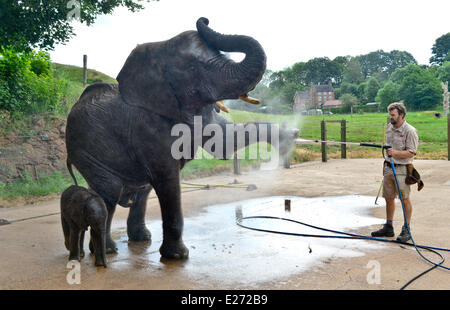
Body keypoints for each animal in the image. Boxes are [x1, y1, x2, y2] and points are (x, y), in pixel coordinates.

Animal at [66, 17, 298, 260]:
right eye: (193, 68)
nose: (204, 19)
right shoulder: (148, 125)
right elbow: (168, 177)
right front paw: (177, 257)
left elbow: (222, 144)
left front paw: (288, 138)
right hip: (84, 147)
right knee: (110, 193)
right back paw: (107, 251)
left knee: (139, 191)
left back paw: (138, 240)